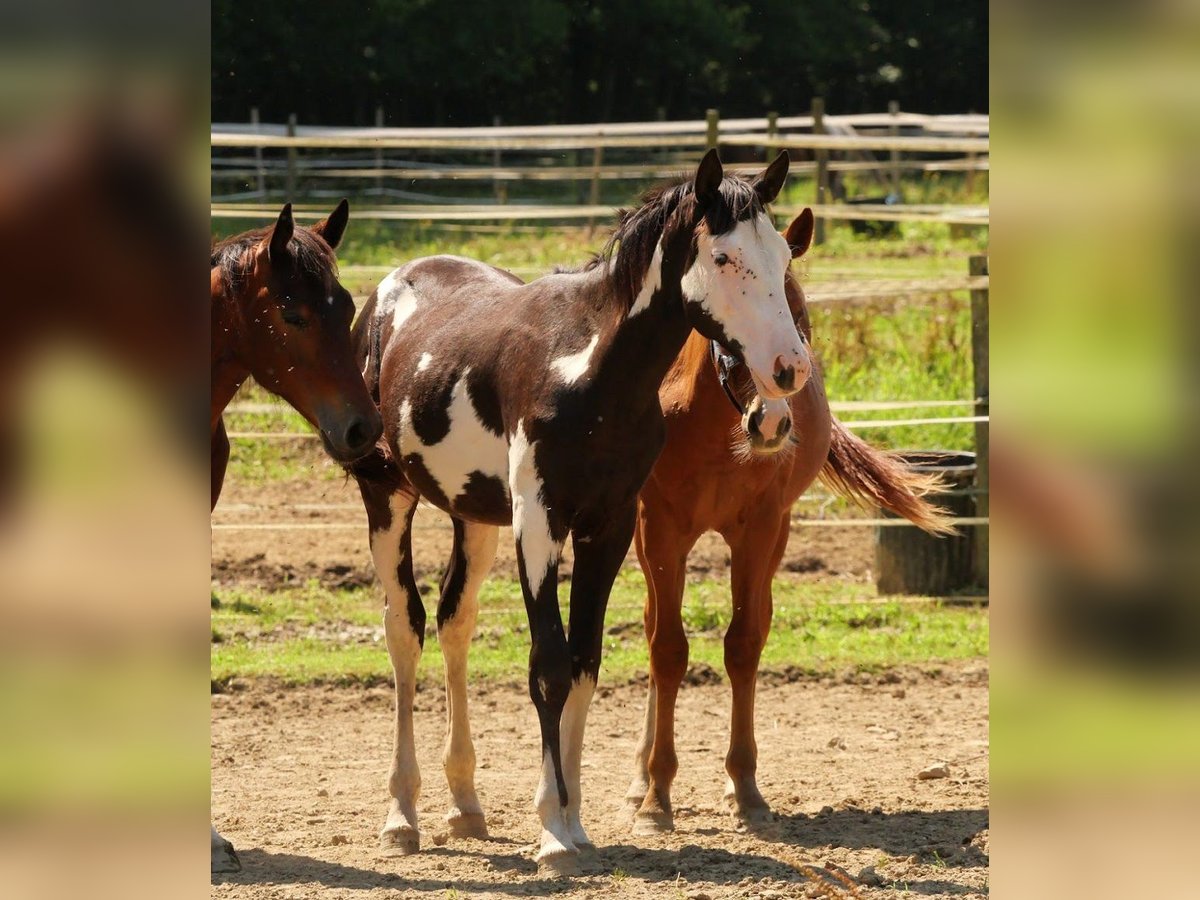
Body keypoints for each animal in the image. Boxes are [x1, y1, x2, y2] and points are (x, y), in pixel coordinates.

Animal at [348, 149, 810, 868]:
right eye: (725, 258)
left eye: (784, 258)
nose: (789, 368)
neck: (591, 369)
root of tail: (392, 285)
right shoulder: (541, 526)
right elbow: (548, 666)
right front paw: (551, 832)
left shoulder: (608, 529)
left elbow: (585, 664)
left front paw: (574, 821)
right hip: (389, 496)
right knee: (406, 630)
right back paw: (402, 814)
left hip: (473, 517)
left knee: (455, 624)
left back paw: (465, 805)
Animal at [625, 208, 955, 833]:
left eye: (800, 316)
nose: (774, 421)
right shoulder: (661, 531)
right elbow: (668, 649)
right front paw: (657, 796)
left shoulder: (759, 532)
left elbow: (743, 644)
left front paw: (745, 788)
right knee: (657, 628)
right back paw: (639, 780)